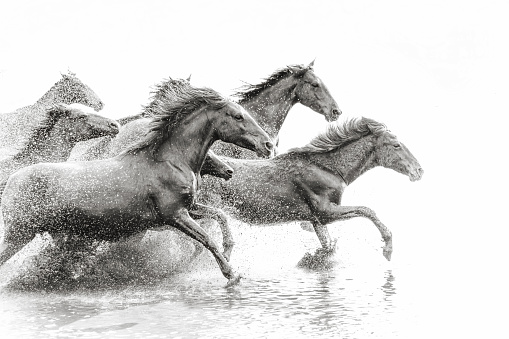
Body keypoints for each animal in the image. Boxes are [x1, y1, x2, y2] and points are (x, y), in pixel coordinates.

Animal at [0, 83, 274, 286]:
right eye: (238, 116)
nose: (269, 145)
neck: (170, 160)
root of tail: (12, 180)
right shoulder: (175, 215)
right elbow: (207, 239)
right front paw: (231, 274)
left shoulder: (189, 208)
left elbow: (220, 217)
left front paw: (229, 251)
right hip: (19, 233)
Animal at [209, 116, 420, 260]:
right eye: (396, 145)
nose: (419, 170)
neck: (328, 169)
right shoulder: (325, 212)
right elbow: (366, 210)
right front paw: (387, 247)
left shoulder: (317, 219)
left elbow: (328, 246)